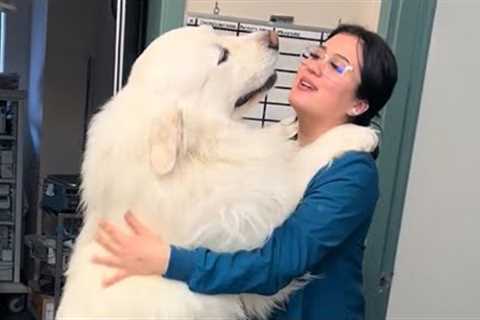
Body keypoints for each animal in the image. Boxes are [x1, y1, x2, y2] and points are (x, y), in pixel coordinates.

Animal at [56, 25, 378, 320]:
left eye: (216, 32)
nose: (274, 37)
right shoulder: (258, 215)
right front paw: (356, 134)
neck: (193, 154)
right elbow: (297, 163)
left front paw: (286, 127)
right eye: (222, 56)